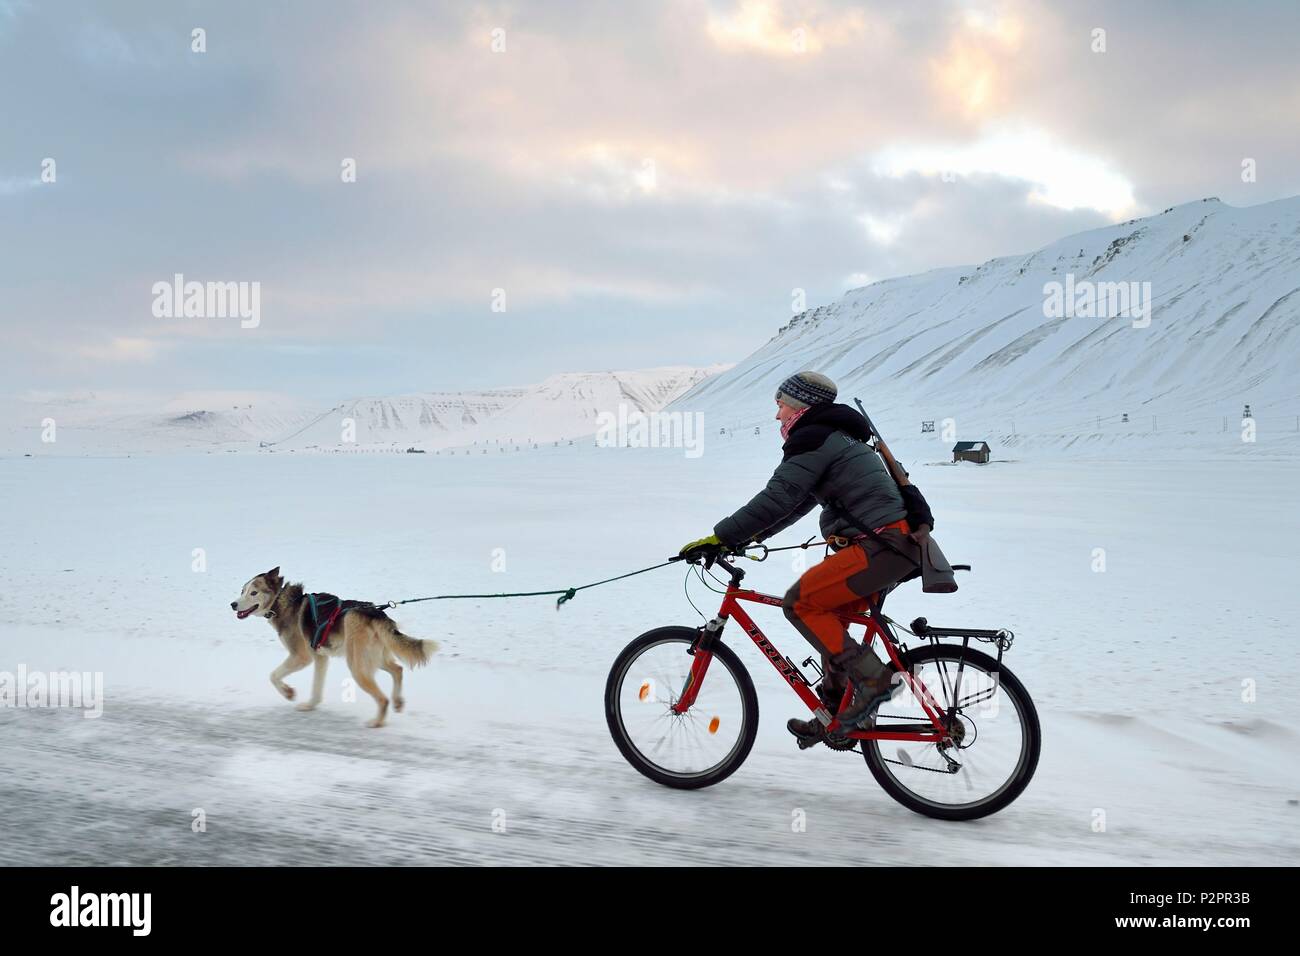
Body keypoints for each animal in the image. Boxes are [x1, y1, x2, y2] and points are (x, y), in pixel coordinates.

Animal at [231, 567, 439, 723]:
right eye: (242, 590)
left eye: (254, 592)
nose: (232, 604)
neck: (283, 601)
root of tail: (376, 613)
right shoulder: (320, 657)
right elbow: (317, 686)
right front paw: (310, 705)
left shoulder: (301, 656)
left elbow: (274, 675)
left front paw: (288, 693)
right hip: (372, 658)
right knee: (398, 670)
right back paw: (398, 702)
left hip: (357, 666)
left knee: (383, 698)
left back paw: (377, 722)